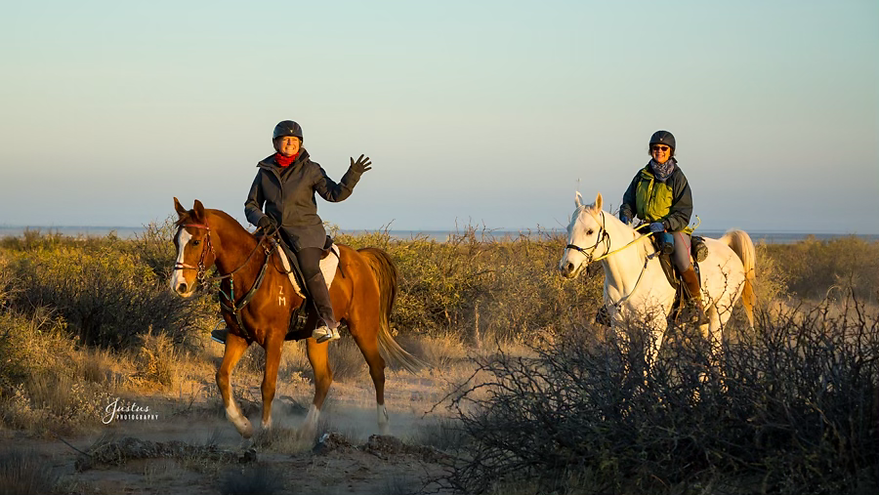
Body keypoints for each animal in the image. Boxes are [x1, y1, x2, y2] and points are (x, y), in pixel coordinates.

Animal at [169, 198, 426, 439]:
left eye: (195, 241)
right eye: (175, 241)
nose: (179, 286)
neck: (249, 272)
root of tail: (361, 258)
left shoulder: (274, 339)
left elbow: (268, 385)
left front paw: (265, 429)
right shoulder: (238, 336)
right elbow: (222, 376)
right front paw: (243, 425)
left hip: (363, 329)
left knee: (377, 370)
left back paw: (383, 425)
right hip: (315, 338)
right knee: (324, 378)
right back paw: (306, 429)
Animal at [558, 192, 756, 353]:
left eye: (590, 231)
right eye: (568, 228)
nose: (567, 266)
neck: (628, 277)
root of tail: (725, 245)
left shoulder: (655, 327)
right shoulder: (619, 326)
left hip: (720, 313)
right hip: (704, 320)